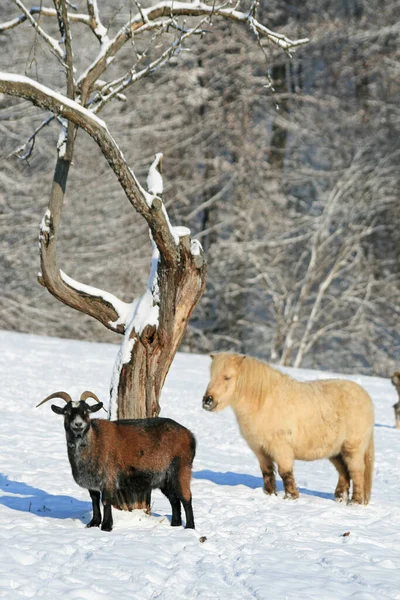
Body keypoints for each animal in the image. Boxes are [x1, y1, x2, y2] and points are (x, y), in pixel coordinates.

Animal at [203, 354, 376, 504]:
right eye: (211, 376)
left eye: (227, 377)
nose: (207, 401)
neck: (264, 402)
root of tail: (365, 397)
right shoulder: (260, 450)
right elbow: (267, 472)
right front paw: (269, 494)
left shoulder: (281, 449)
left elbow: (285, 472)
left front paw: (291, 497)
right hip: (335, 452)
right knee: (344, 473)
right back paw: (340, 498)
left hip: (352, 449)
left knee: (357, 472)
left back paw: (355, 502)